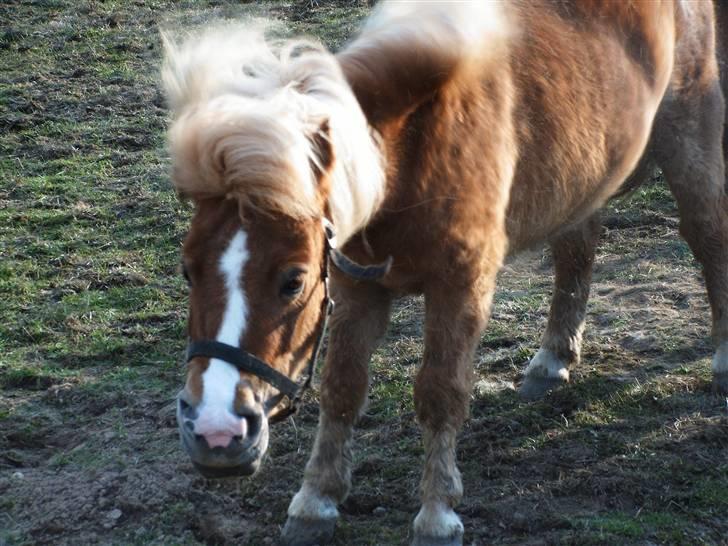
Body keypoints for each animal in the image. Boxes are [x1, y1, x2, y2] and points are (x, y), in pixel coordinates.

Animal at [164, 2, 728, 540]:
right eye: (188, 271)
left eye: (294, 279)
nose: (215, 433)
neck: (411, 154)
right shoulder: (357, 287)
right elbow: (342, 387)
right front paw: (316, 501)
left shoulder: (460, 286)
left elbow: (440, 392)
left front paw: (437, 514)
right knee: (577, 248)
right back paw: (552, 358)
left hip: (689, 134)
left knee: (707, 235)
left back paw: (721, 359)